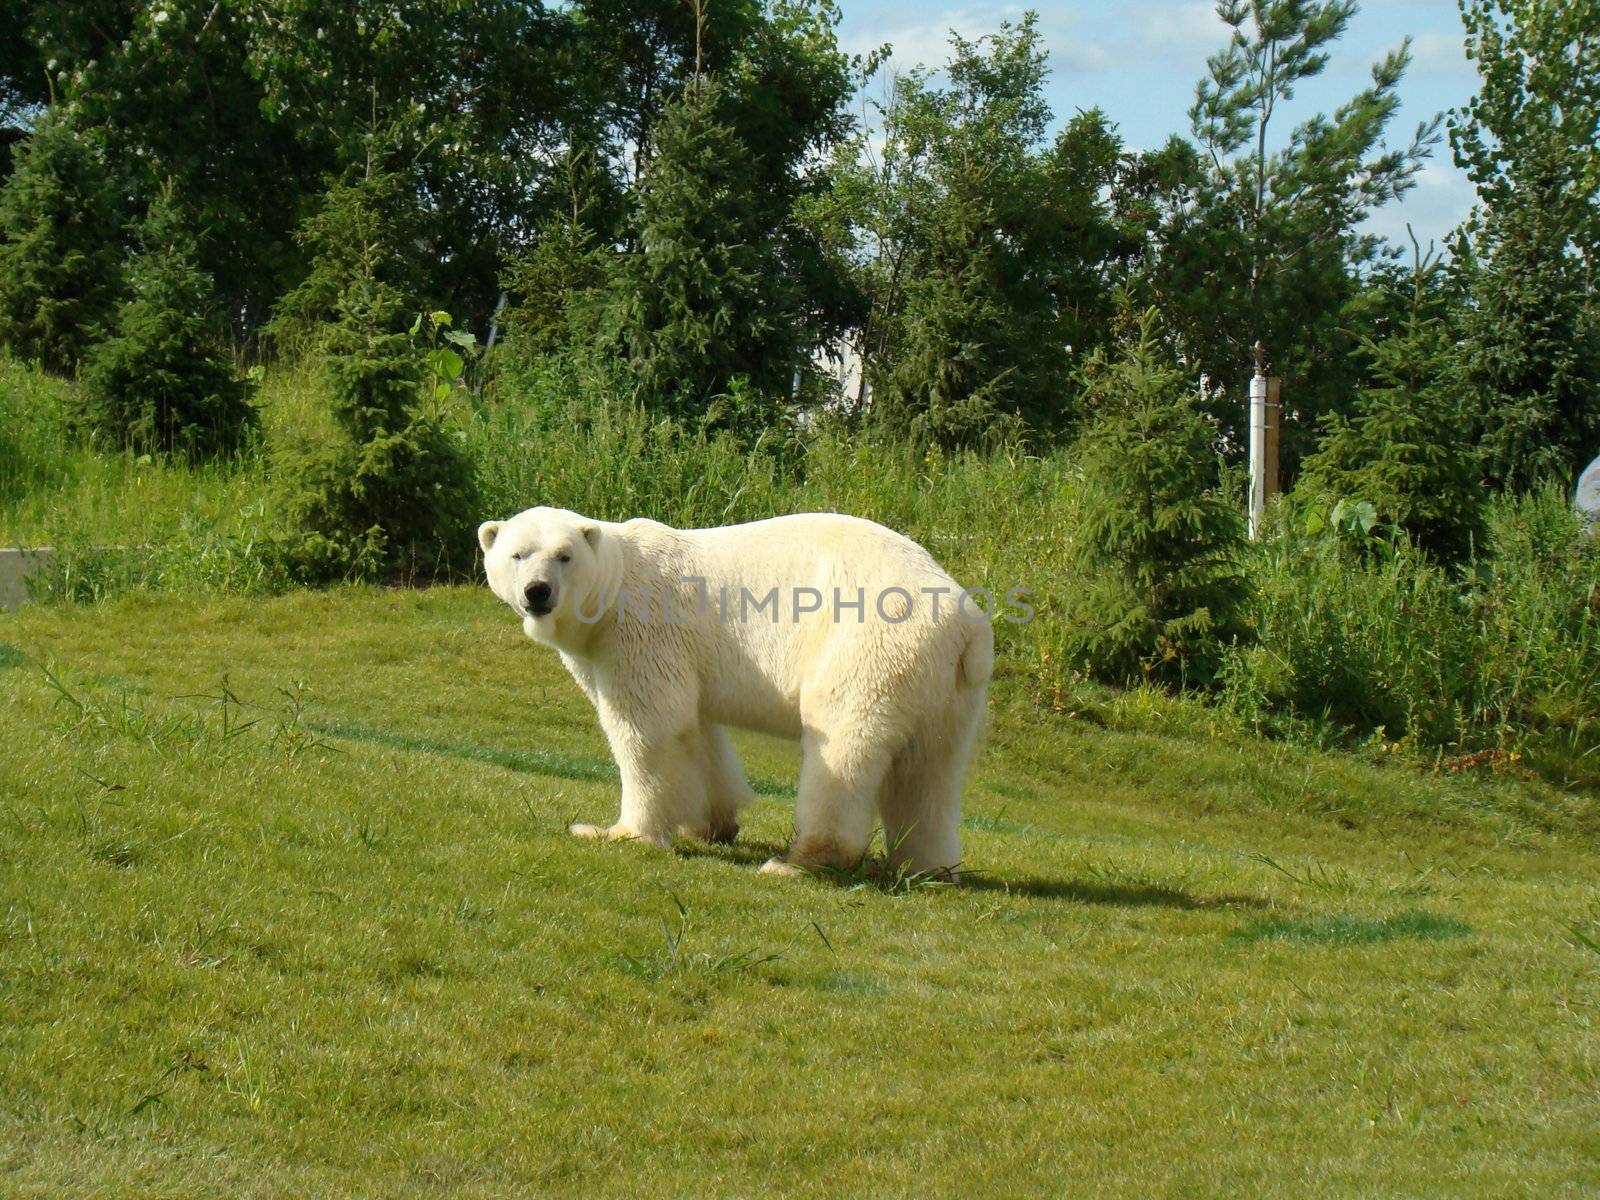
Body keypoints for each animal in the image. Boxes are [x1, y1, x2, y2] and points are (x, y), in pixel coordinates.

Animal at [480, 508, 992, 883]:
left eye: (564, 555)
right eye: (517, 554)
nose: (537, 592)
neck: (615, 586)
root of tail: (968, 624)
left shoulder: (642, 633)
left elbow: (650, 728)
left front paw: (616, 833)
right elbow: (698, 733)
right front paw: (713, 824)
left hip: (869, 645)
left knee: (843, 747)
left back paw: (797, 862)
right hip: (947, 687)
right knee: (930, 770)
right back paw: (925, 867)